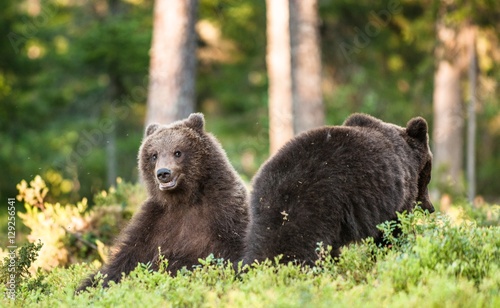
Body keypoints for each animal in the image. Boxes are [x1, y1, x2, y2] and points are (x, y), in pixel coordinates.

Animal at [77, 113, 248, 292]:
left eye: (178, 152)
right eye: (154, 155)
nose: (163, 173)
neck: (183, 199)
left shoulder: (224, 212)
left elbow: (231, 252)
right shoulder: (154, 221)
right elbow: (124, 261)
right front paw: (87, 288)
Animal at [242, 113, 434, 264]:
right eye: (428, 177)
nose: (430, 208)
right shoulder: (397, 197)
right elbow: (393, 230)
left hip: (265, 214)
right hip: (313, 207)